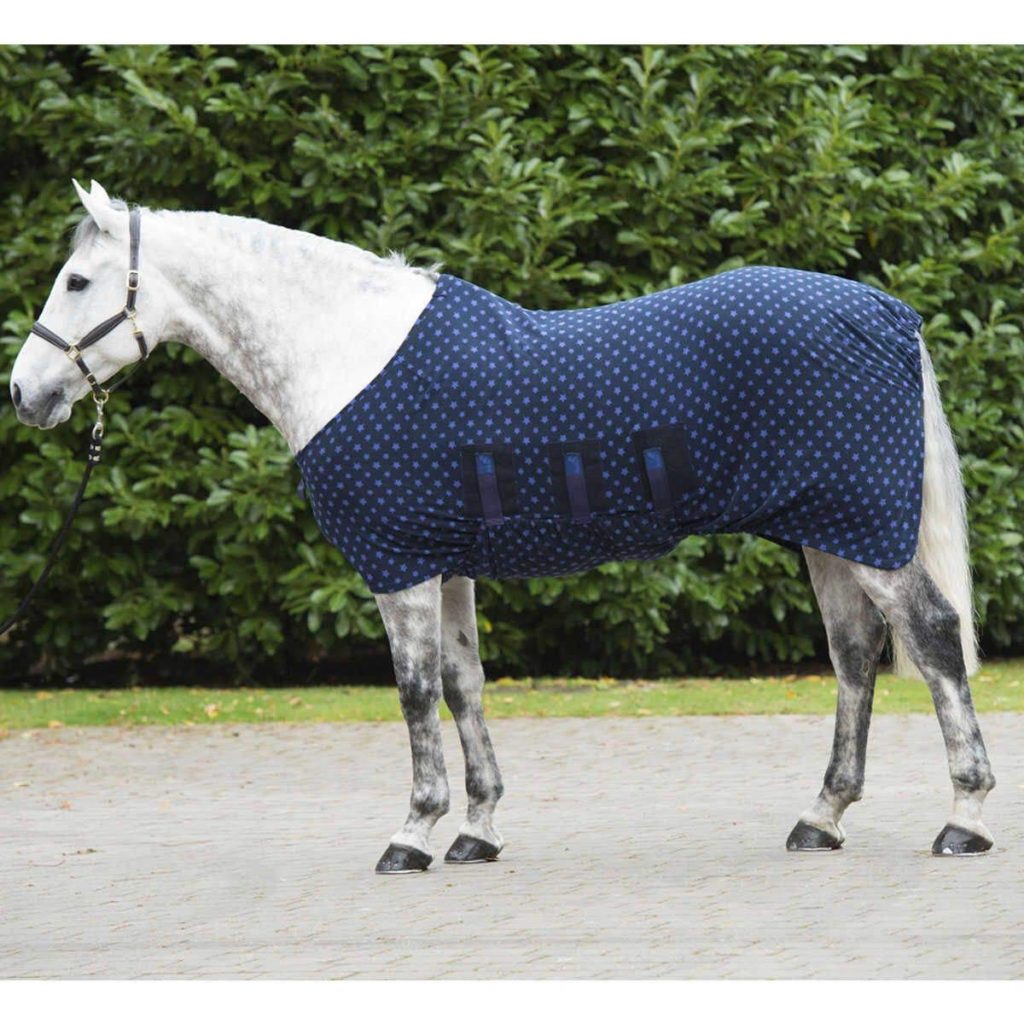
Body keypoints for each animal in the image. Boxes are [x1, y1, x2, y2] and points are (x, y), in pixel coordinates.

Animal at [9, 180, 996, 873]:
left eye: (78, 280)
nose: (25, 393)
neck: (345, 351)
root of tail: (883, 312)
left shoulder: (400, 566)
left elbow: (413, 694)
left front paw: (412, 834)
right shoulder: (449, 567)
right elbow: (464, 686)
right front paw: (477, 829)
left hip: (861, 529)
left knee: (932, 638)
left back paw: (965, 818)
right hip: (828, 532)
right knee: (855, 657)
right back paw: (820, 819)